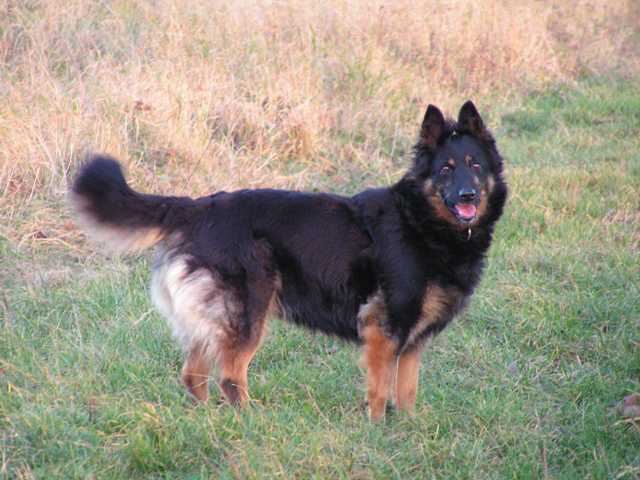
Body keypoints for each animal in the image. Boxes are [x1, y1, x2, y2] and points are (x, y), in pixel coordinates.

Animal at [71, 101, 507, 421]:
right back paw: (249, 421)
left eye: (475, 166)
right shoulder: (383, 331)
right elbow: (381, 391)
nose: (468, 195)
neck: (420, 220)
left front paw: (410, 429)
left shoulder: (411, 340)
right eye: (446, 170)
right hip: (247, 314)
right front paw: (379, 430)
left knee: (194, 375)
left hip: (216, 320)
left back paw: (205, 421)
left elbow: (408, 391)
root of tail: (198, 208)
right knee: (230, 375)